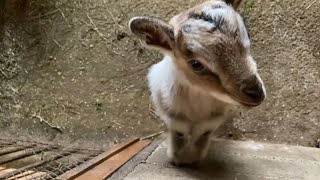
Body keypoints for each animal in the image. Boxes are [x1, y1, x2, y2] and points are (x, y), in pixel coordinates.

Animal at [129, 0, 266, 166]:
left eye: (248, 37)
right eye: (196, 64)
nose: (256, 92)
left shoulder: (211, 123)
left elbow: (201, 141)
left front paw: (194, 160)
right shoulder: (174, 121)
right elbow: (178, 140)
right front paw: (177, 160)